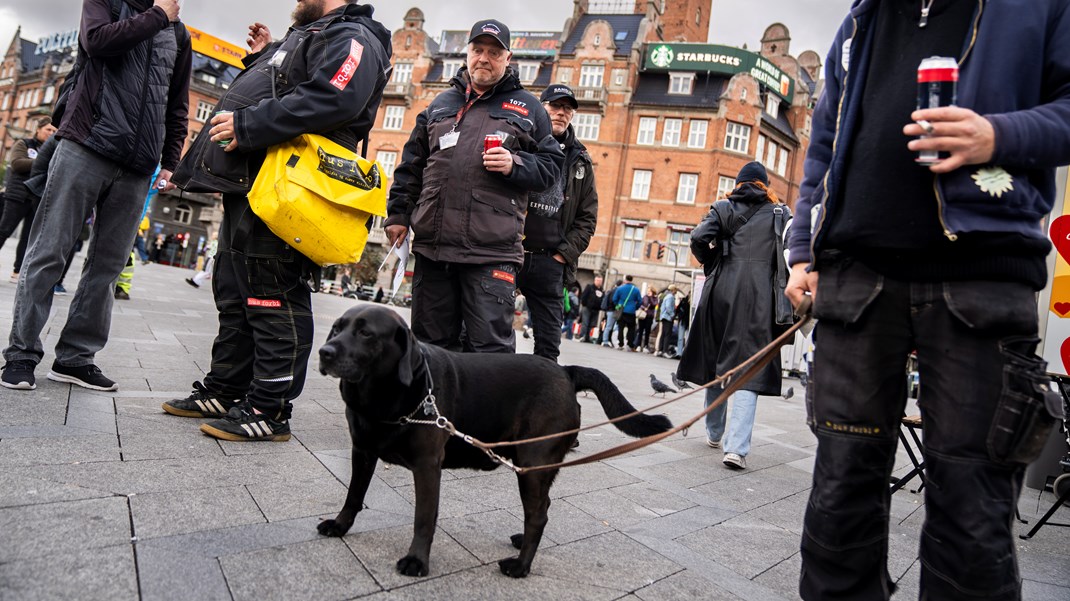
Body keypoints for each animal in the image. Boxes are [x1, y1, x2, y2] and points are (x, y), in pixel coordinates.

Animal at [312, 303, 671, 577]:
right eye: (337, 328)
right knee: (543, 507)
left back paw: (521, 566)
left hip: (533, 462)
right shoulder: (362, 451)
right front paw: (340, 526)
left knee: (538, 515)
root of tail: (566, 371)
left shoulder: (427, 467)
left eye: (366, 333)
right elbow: (353, 495)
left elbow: (424, 517)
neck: (384, 399)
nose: (324, 352)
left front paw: (417, 560)